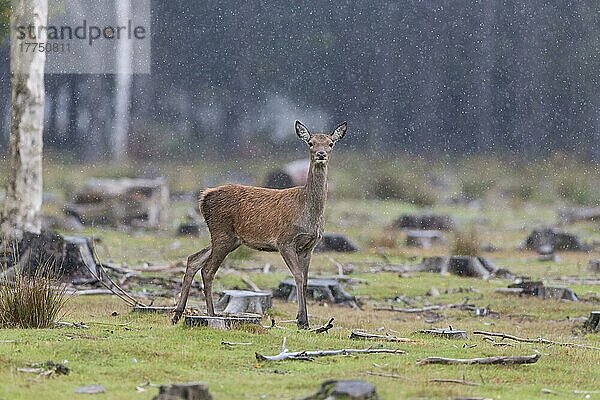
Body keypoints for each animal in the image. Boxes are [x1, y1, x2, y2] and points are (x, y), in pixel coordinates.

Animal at [170, 120, 346, 326]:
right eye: (310, 143)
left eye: (330, 144)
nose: (321, 154)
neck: (307, 211)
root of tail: (204, 197)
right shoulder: (284, 241)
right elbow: (297, 276)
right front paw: (302, 321)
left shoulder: (309, 246)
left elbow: (306, 280)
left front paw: (303, 320)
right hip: (222, 232)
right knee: (207, 269)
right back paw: (212, 315)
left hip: (230, 238)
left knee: (194, 259)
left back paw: (177, 314)